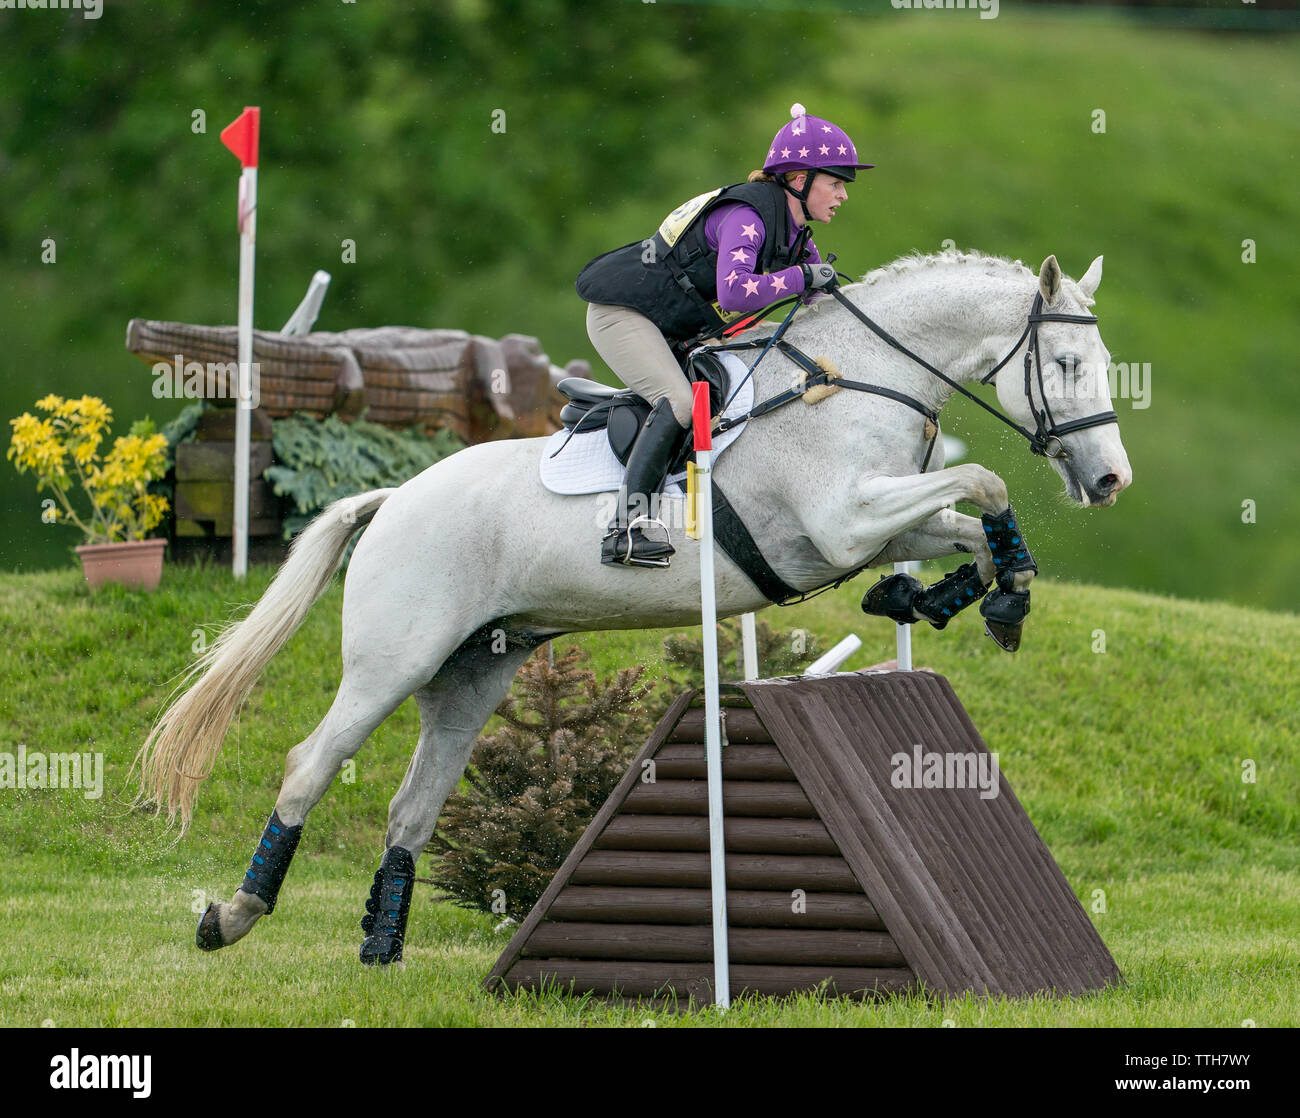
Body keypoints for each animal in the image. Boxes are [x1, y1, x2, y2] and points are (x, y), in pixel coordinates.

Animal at [139, 248, 1128, 967]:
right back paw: (231, 916)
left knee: (412, 807)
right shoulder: (844, 520)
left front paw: (970, 598)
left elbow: (970, 520)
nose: (1111, 480)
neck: (856, 377)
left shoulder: (868, 527)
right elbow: (986, 479)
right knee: (311, 765)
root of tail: (390, 500)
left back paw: (382, 947)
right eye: (1066, 363)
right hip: (396, 659)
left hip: (471, 673)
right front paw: (973, 596)